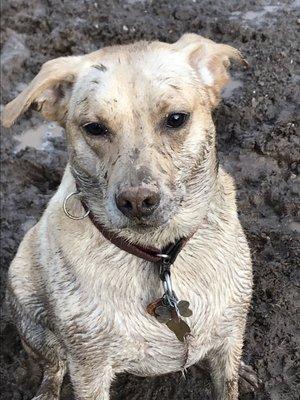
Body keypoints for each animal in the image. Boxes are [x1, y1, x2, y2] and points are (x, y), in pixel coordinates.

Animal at [1, 34, 258, 400]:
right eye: (94, 128)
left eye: (176, 119)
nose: (137, 201)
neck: (158, 253)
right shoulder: (89, 367)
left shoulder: (231, 332)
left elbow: (228, 379)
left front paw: (238, 372)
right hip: (28, 306)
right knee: (52, 362)